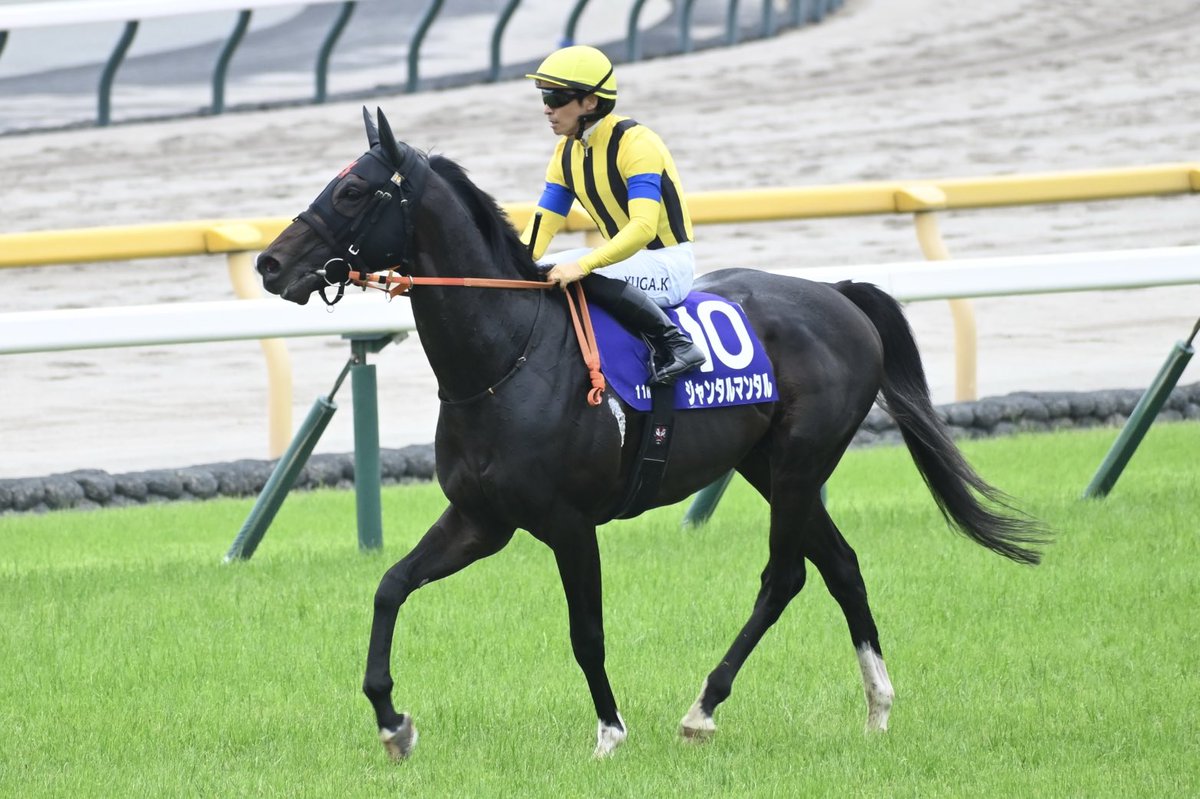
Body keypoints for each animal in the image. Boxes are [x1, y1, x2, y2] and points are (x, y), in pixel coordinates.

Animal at [256, 108, 1048, 759]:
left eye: (353, 192)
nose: (270, 262)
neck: (506, 357)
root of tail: (839, 294)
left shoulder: (568, 523)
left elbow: (586, 631)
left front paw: (610, 731)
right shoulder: (482, 518)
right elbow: (390, 586)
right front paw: (393, 722)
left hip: (799, 463)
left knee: (785, 575)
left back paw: (704, 707)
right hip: (770, 466)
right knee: (841, 565)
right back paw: (877, 705)